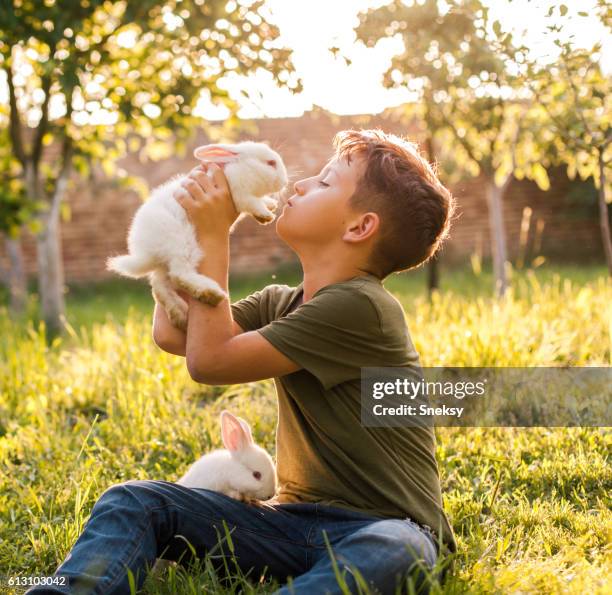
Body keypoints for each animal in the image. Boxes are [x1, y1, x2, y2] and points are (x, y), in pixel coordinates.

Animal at [105, 143, 290, 332]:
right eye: (270, 163)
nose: (285, 182)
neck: (237, 168)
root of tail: (144, 253)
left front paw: (270, 206)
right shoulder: (240, 195)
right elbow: (252, 203)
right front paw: (266, 215)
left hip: (167, 261)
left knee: (159, 285)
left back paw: (179, 315)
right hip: (183, 245)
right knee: (179, 275)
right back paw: (211, 294)